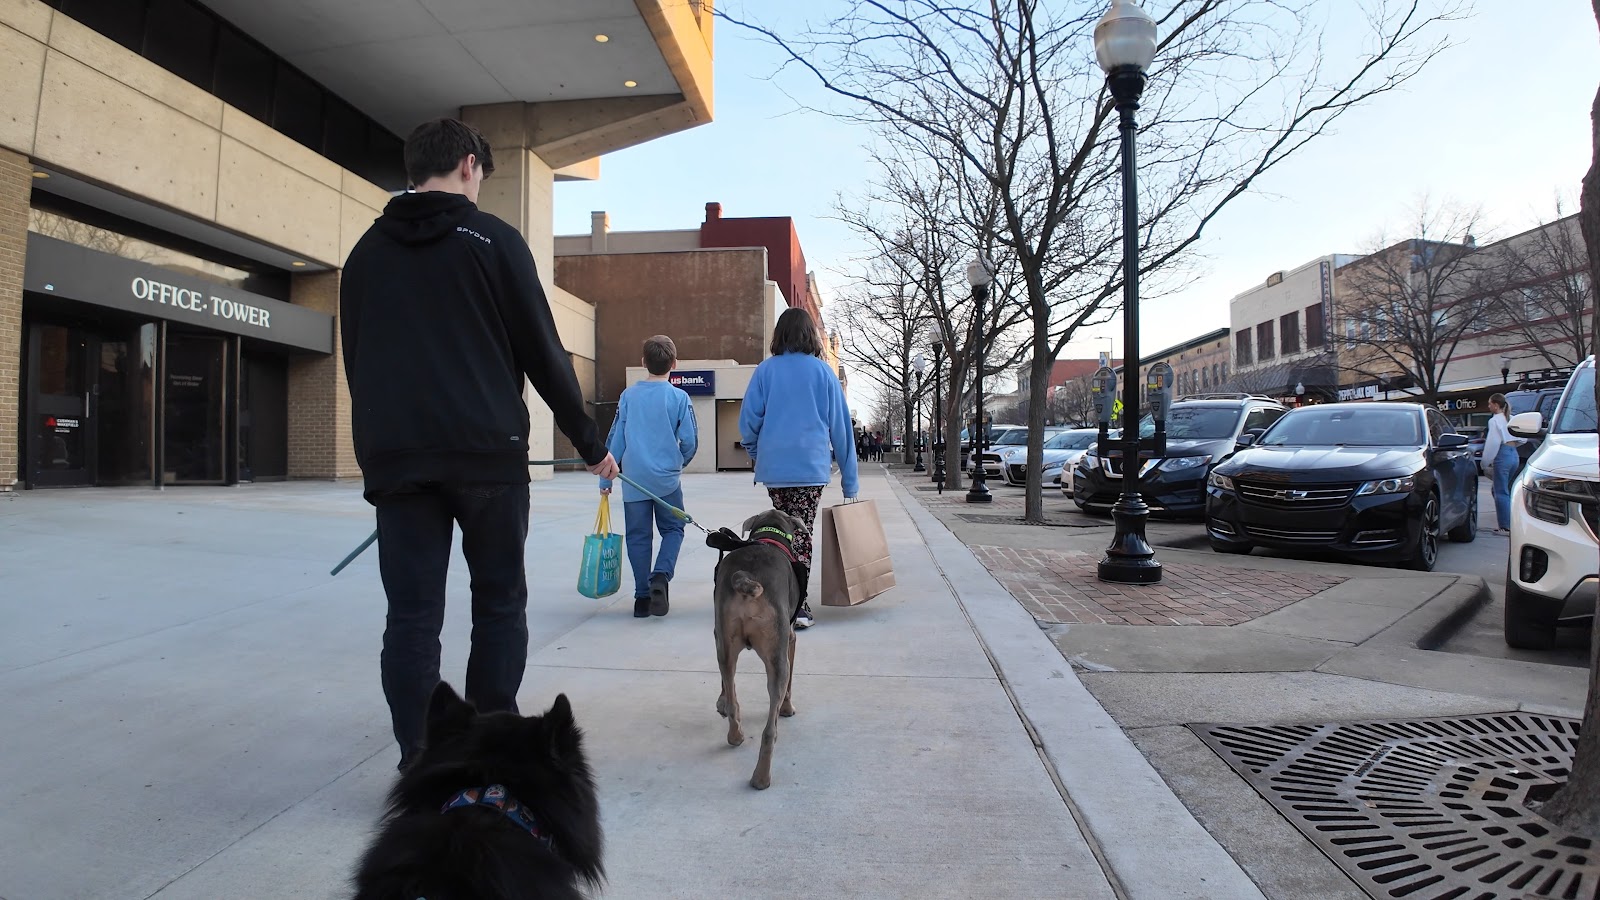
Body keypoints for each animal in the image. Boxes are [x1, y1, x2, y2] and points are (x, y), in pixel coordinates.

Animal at [712, 508, 805, 790]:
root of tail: (746, 578)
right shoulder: (791, 639)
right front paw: (788, 708)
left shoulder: (718, 638)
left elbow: (726, 687)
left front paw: (721, 702)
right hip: (777, 655)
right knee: (769, 730)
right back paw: (761, 778)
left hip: (725, 640)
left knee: (730, 687)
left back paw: (735, 735)